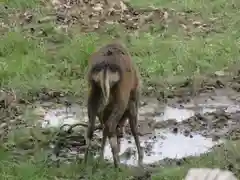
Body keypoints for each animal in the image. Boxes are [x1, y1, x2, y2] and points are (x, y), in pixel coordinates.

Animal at [83, 40, 143, 168]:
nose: (121, 133)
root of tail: (106, 66)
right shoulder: (133, 98)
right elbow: (134, 127)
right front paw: (141, 157)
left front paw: (100, 158)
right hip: (122, 94)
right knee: (110, 125)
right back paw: (117, 164)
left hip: (93, 90)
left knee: (92, 126)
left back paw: (85, 162)